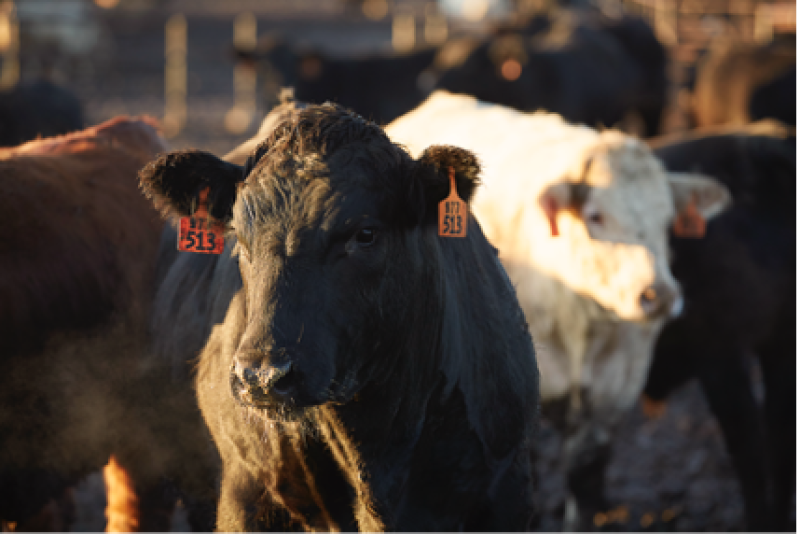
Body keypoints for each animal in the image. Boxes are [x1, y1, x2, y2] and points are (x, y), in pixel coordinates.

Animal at [386, 91, 732, 532]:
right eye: (596, 216)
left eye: (668, 219)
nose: (660, 295)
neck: (583, 325)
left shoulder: (614, 392)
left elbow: (584, 475)